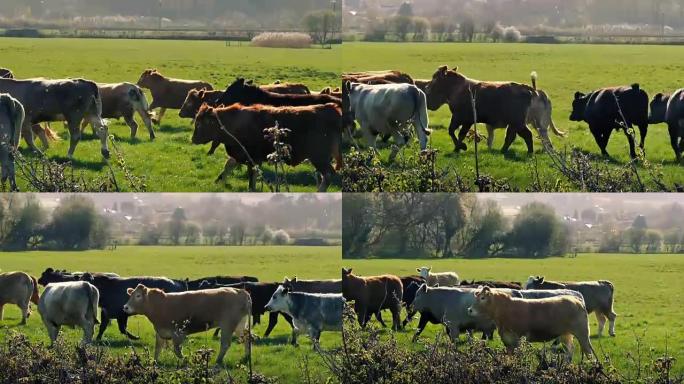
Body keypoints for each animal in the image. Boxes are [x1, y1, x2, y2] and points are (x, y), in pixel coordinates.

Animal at [123, 284, 251, 364]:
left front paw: (186, 360)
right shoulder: (160, 333)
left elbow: (177, 350)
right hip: (240, 324)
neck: (160, 305)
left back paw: (218, 361)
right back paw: (246, 356)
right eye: (131, 294)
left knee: (225, 344)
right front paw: (154, 363)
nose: (125, 307)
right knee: (246, 338)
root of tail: (240, 291)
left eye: (138, 296)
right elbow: (157, 349)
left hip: (228, 325)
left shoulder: (178, 333)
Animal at [192, 102, 342, 192]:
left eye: (200, 123)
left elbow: (251, 176)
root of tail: (329, 108)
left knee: (328, 174)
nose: (193, 139)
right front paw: (219, 180)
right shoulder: (243, 155)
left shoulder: (251, 157)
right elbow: (229, 165)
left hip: (319, 157)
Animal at [468, 286, 596, 362]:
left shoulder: (517, 339)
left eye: (483, 298)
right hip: (566, 334)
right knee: (570, 350)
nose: (469, 310)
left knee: (588, 352)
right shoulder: (508, 340)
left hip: (582, 334)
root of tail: (576, 299)